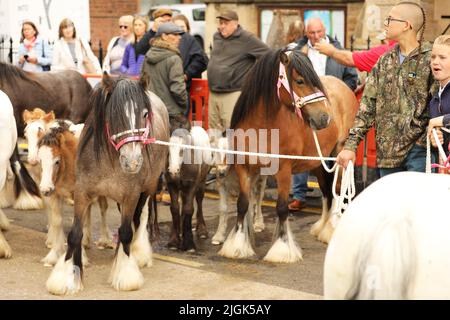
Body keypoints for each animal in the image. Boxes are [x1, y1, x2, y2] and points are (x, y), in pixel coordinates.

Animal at [45, 75, 170, 296]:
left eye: (145, 114)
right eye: (114, 114)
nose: (133, 161)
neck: (108, 161)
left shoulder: (131, 195)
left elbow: (127, 232)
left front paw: (126, 275)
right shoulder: (82, 192)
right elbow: (75, 234)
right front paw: (67, 278)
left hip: (147, 189)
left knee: (137, 220)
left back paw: (136, 254)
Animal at [218, 48, 358, 262]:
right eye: (300, 81)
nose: (324, 118)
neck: (264, 128)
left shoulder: (283, 171)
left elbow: (282, 207)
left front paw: (282, 249)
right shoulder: (245, 169)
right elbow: (243, 204)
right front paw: (237, 245)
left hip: (340, 154)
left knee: (337, 189)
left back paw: (330, 232)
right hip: (319, 161)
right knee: (327, 191)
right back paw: (321, 228)